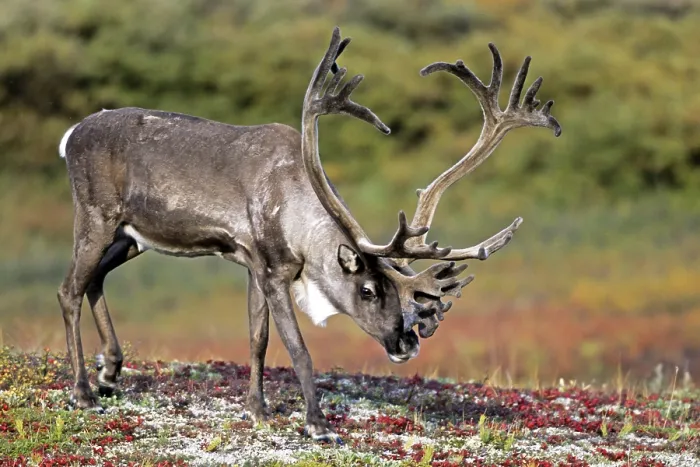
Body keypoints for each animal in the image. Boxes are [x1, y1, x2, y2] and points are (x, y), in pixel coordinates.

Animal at [57, 27, 560, 442]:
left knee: (94, 279)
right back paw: (82, 392)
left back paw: (110, 372)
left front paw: (257, 410)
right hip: (96, 217)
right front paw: (317, 424)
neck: (295, 203)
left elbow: (257, 339)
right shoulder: (275, 271)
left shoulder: (253, 266)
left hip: (130, 237)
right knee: (69, 289)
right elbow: (298, 348)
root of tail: (72, 133)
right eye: (368, 290)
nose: (407, 343)